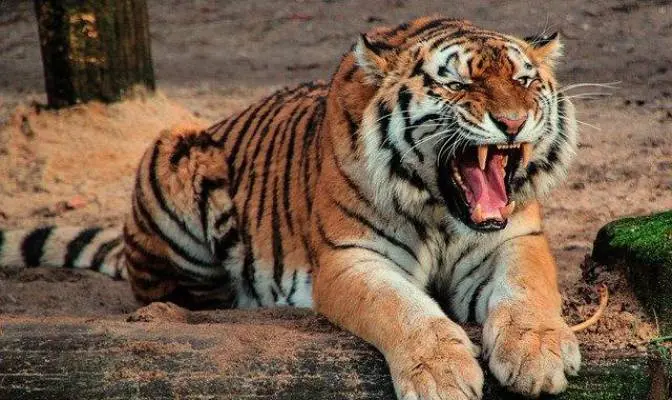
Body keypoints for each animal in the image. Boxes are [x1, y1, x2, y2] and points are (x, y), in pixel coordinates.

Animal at [0, 17, 580, 399]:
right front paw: (442, 373)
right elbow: (403, 309)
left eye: (524, 80)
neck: (441, 210)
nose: (512, 122)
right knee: (172, 295)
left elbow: (528, 291)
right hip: (173, 152)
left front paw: (539, 354)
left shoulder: (514, 239)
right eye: (457, 83)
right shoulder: (351, 258)